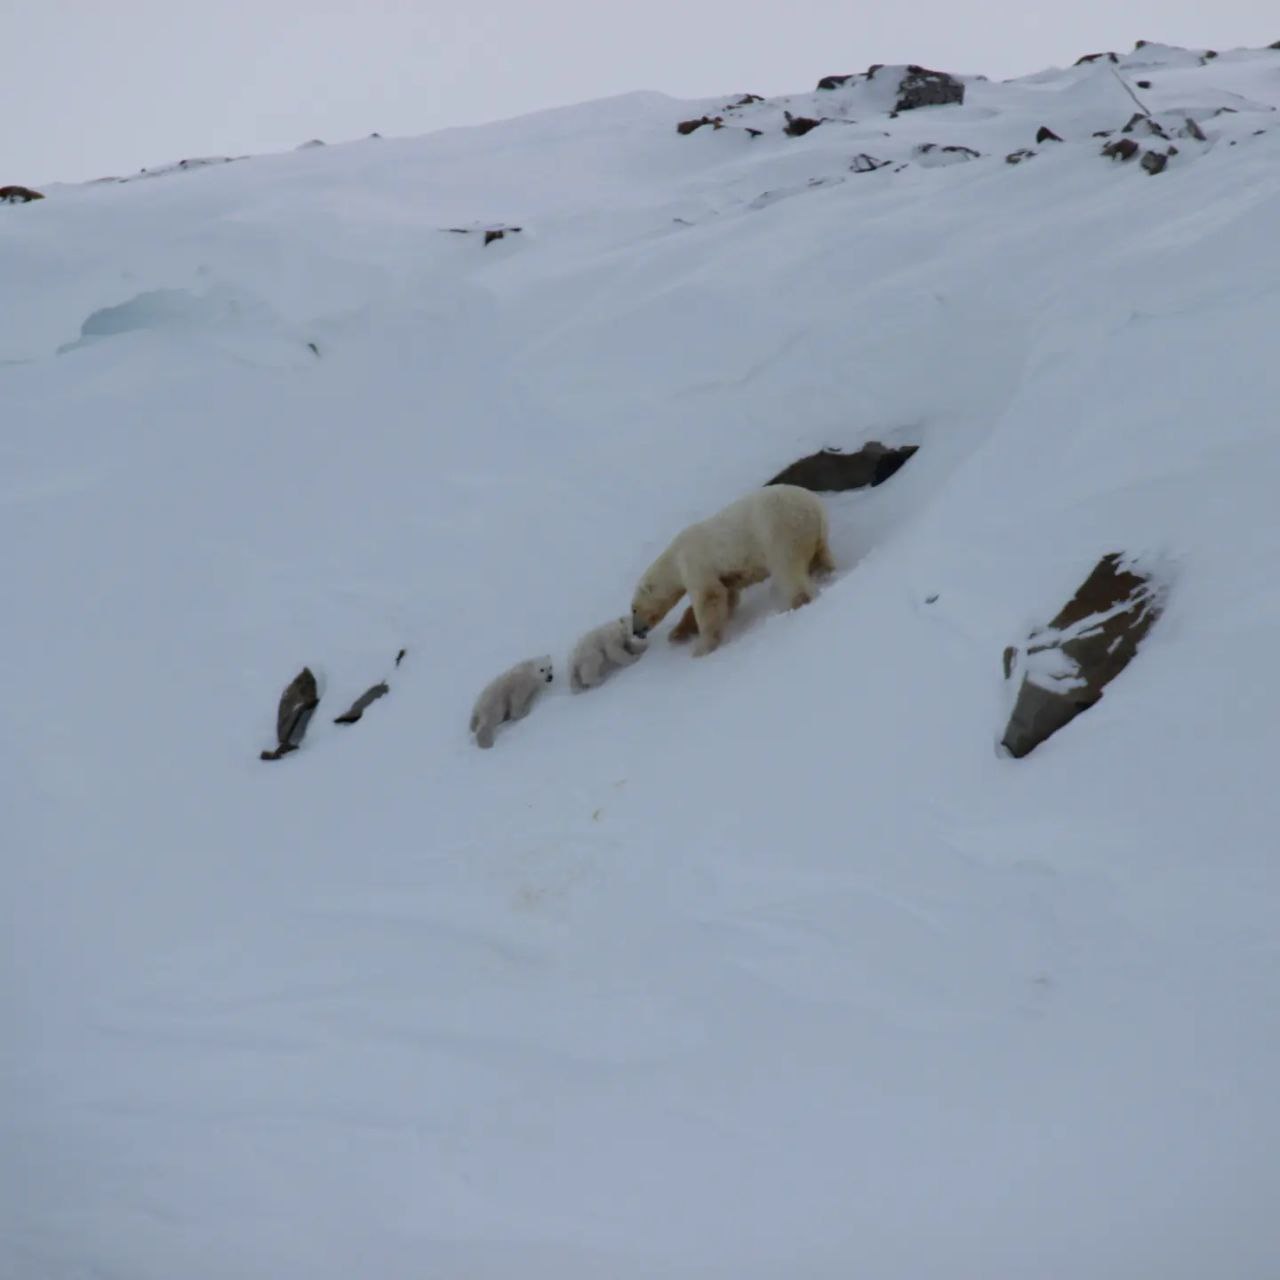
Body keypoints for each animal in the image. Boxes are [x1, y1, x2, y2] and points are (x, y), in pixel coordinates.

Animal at [632, 481, 834, 660]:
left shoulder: (694, 562)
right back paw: (825, 574)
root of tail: (814, 506)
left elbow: (709, 598)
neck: (674, 557)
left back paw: (796, 603)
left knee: (787, 568)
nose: (636, 631)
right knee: (820, 557)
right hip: (814, 534)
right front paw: (677, 633)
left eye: (633, 609)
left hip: (778, 528)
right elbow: (728, 597)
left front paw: (701, 649)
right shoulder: (723, 575)